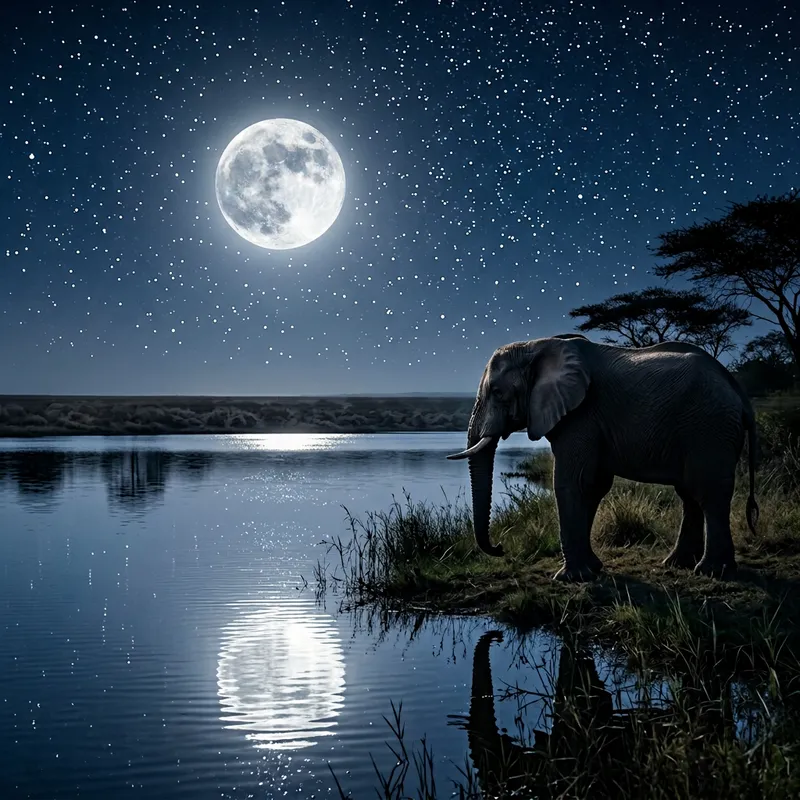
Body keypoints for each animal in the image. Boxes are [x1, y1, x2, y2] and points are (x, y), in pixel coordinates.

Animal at [447, 334, 759, 580]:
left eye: (498, 392)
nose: (500, 548)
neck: (536, 346)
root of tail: (740, 394)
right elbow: (593, 486)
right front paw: (593, 570)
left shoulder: (581, 414)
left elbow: (572, 483)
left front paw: (570, 578)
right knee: (690, 494)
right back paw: (677, 564)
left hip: (709, 428)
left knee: (708, 492)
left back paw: (712, 572)